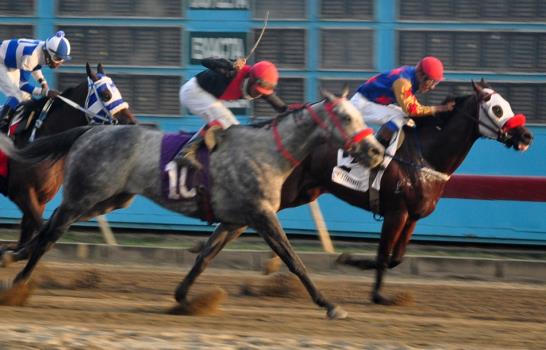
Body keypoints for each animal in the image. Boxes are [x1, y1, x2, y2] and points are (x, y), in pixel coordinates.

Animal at [0, 63, 136, 262]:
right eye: (106, 95)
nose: (132, 122)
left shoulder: (40, 198)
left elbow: (29, 234)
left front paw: (12, 254)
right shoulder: (21, 192)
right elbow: (42, 231)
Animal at [0, 88, 384, 320]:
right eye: (347, 118)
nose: (376, 151)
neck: (268, 153)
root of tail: (92, 130)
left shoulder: (236, 221)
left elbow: (204, 258)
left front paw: (185, 298)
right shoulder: (262, 215)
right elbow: (294, 261)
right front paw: (330, 305)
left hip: (110, 199)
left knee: (51, 225)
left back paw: (12, 256)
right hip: (85, 193)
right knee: (51, 232)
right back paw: (18, 283)